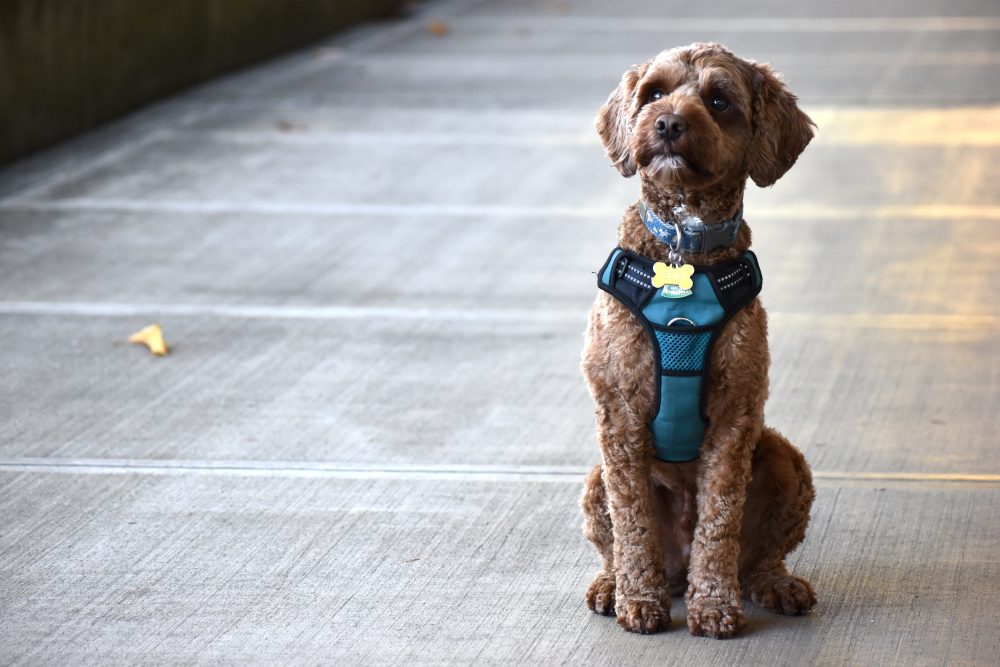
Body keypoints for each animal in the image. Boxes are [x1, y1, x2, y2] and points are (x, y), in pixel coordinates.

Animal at [584, 44, 816, 640]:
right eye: (655, 93)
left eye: (719, 101)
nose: (668, 123)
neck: (682, 245)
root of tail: (678, 561)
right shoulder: (620, 420)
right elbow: (634, 525)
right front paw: (638, 601)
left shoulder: (736, 416)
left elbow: (720, 520)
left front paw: (713, 605)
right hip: (596, 478)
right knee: (616, 546)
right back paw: (613, 585)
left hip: (781, 455)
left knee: (758, 559)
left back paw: (775, 585)